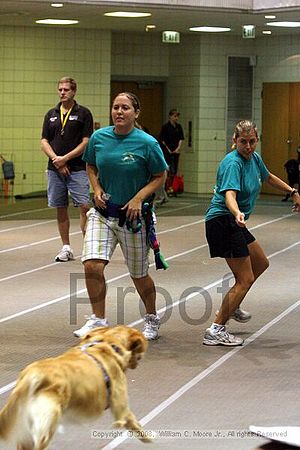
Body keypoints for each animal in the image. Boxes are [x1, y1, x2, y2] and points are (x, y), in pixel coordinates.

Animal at [0, 326, 150, 450]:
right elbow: (138, 427)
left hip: (27, 431)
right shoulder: (121, 409)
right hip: (46, 426)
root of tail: (34, 374)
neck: (108, 343)